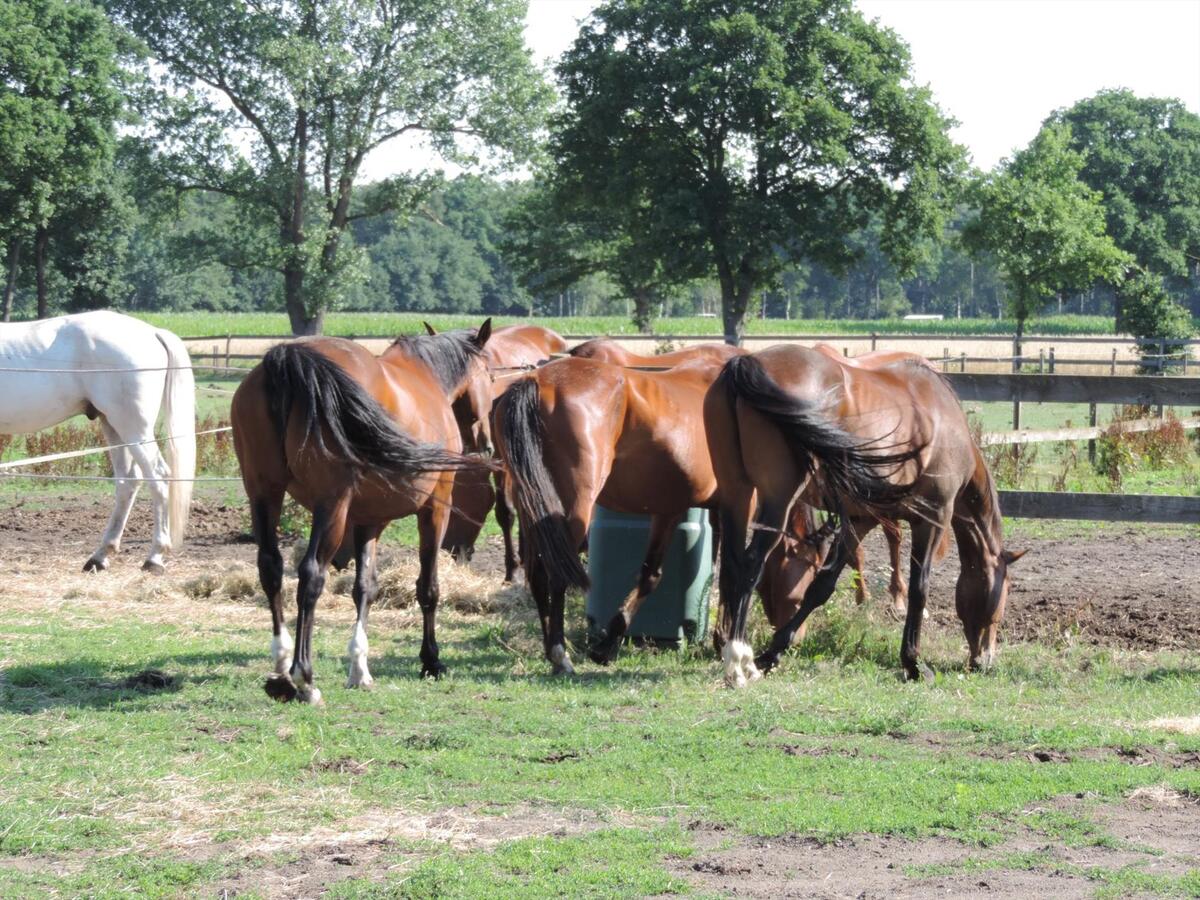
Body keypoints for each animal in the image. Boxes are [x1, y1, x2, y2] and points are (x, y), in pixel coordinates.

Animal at [0, 314, 194, 573]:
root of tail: (153, 332)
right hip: (112, 425)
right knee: (127, 482)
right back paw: (100, 557)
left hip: (133, 428)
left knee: (158, 477)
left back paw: (154, 558)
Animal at [229, 321, 496, 705]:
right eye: (490, 376)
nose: (486, 444)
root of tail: (287, 361)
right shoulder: (434, 510)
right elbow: (428, 587)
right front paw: (431, 661)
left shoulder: (368, 520)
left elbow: (365, 588)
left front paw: (359, 668)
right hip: (331, 507)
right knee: (311, 575)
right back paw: (303, 677)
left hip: (264, 495)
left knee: (271, 569)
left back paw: (280, 669)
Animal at [489, 345, 734, 676]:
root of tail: (536, 380)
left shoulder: (671, 509)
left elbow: (652, 574)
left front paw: (608, 645)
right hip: (574, 507)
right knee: (557, 573)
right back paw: (560, 655)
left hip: (532, 508)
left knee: (538, 574)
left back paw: (551, 650)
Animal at [705, 348, 1027, 686]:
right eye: (1002, 592)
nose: (984, 660)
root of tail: (747, 363)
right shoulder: (933, 517)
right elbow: (919, 588)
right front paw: (913, 662)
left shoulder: (862, 520)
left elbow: (821, 587)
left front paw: (774, 651)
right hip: (778, 500)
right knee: (751, 565)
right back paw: (739, 661)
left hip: (737, 495)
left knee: (731, 568)